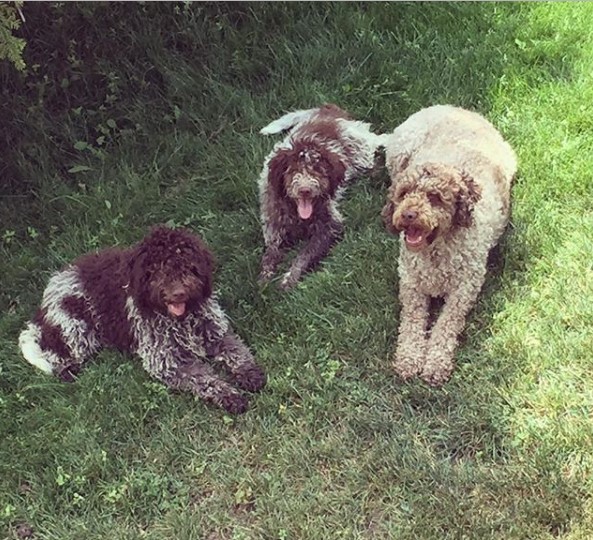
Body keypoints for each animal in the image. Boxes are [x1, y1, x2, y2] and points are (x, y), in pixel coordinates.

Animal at [18, 225, 264, 414]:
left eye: (186, 264)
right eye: (157, 269)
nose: (178, 293)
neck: (181, 319)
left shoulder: (217, 333)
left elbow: (237, 352)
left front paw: (250, 374)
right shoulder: (166, 363)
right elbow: (205, 380)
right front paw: (230, 396)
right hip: (75, 328)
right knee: (57, 355)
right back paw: (69, 371)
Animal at [382, 104, 516, 384]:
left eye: (434, 197)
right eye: (404, 193)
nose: (407, 214)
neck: (435, 251)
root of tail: (453, 108)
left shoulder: (465, 288)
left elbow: (446, 324)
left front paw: (435, 362)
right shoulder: (410, 284)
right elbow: (411, 322)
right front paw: (408, 358)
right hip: (398, 153)